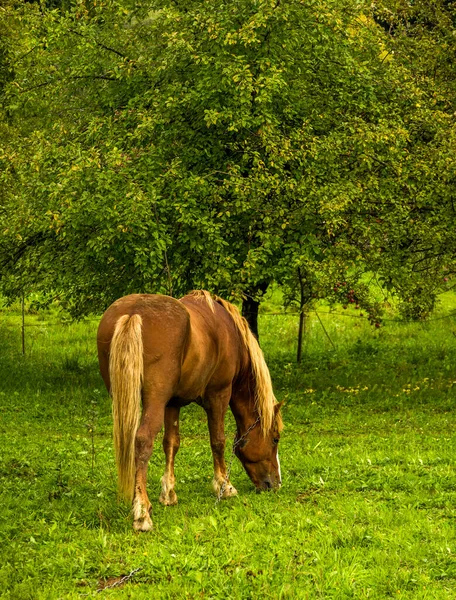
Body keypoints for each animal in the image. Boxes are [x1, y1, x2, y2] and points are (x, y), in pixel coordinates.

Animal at [97, 290, 282, 528]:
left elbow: (171, 444)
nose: (275, 483)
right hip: (154, 402)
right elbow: (218, 441)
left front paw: (168, 493)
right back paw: (141, 511)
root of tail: (133, 313)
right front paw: (224, 486)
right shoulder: (219, 395)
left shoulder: (172, 404)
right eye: (275, 439)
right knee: (142, 440)